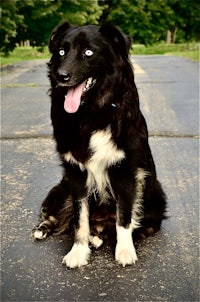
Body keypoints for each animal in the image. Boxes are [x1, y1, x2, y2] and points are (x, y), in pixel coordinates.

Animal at [32, 20, 167, 268]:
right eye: (61, 51)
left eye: (88, 52)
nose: (61, 76)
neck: (92, 114)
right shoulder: (75, 174)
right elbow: (80, 219)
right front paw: (78, 252)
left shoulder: (125, 171)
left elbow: (124, 217)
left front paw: (125, 251)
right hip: (61, 187)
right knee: (60, 215)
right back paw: (46, 229)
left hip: (155, 193)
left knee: (134, 224)